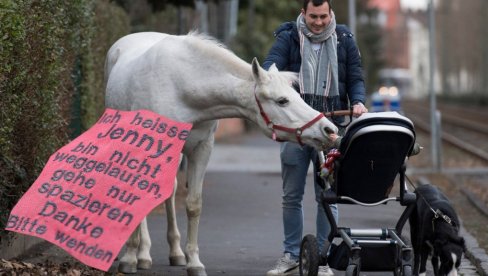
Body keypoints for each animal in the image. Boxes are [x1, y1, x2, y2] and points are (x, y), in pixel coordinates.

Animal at [104, 31, 338, 274]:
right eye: (282, 100)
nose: (329, 130)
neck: (182, 87)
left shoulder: (201, 149)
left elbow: (193, 204)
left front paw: (194, 263)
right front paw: (129, 258)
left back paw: (172, 253)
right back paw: (141, 254)